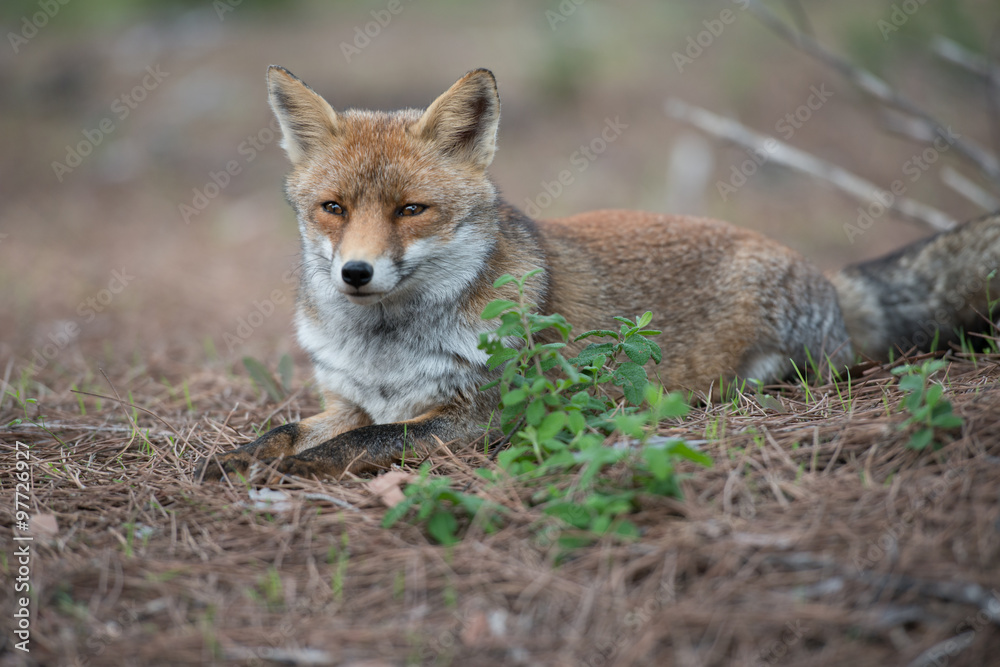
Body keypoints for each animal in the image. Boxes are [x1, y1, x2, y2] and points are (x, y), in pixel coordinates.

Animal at [195, 65, 1000, 482]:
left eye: (411, 209)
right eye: (332, 208)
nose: (355, 273)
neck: (385, 351)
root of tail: (828, 278)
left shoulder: (481, 416)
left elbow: (361, 445)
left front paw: (286, 473)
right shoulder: (348, 399)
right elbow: (283, 429)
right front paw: (231, 460)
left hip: (778, 364)